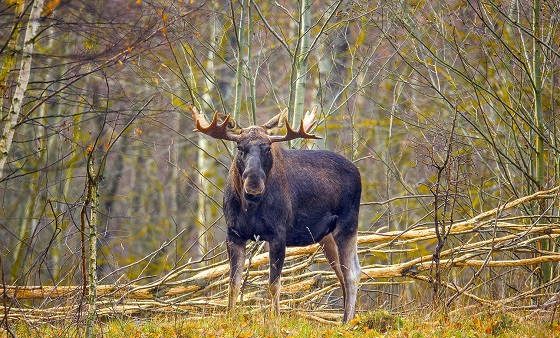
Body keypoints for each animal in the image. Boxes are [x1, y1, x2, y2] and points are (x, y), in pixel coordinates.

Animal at [192, 107, 364, 322]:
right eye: (240, 147)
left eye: (267, 148)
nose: (253, 184)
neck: (250, 207)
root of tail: (357, 172)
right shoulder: (234, 234)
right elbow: (233, 283)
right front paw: (230, 317)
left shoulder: (278, 234)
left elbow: (274, 284)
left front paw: (275, 320)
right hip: (327, 236)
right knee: (343, 272)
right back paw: (343, 319)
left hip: (348, 225)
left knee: (352, 273)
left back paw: (347, 321)